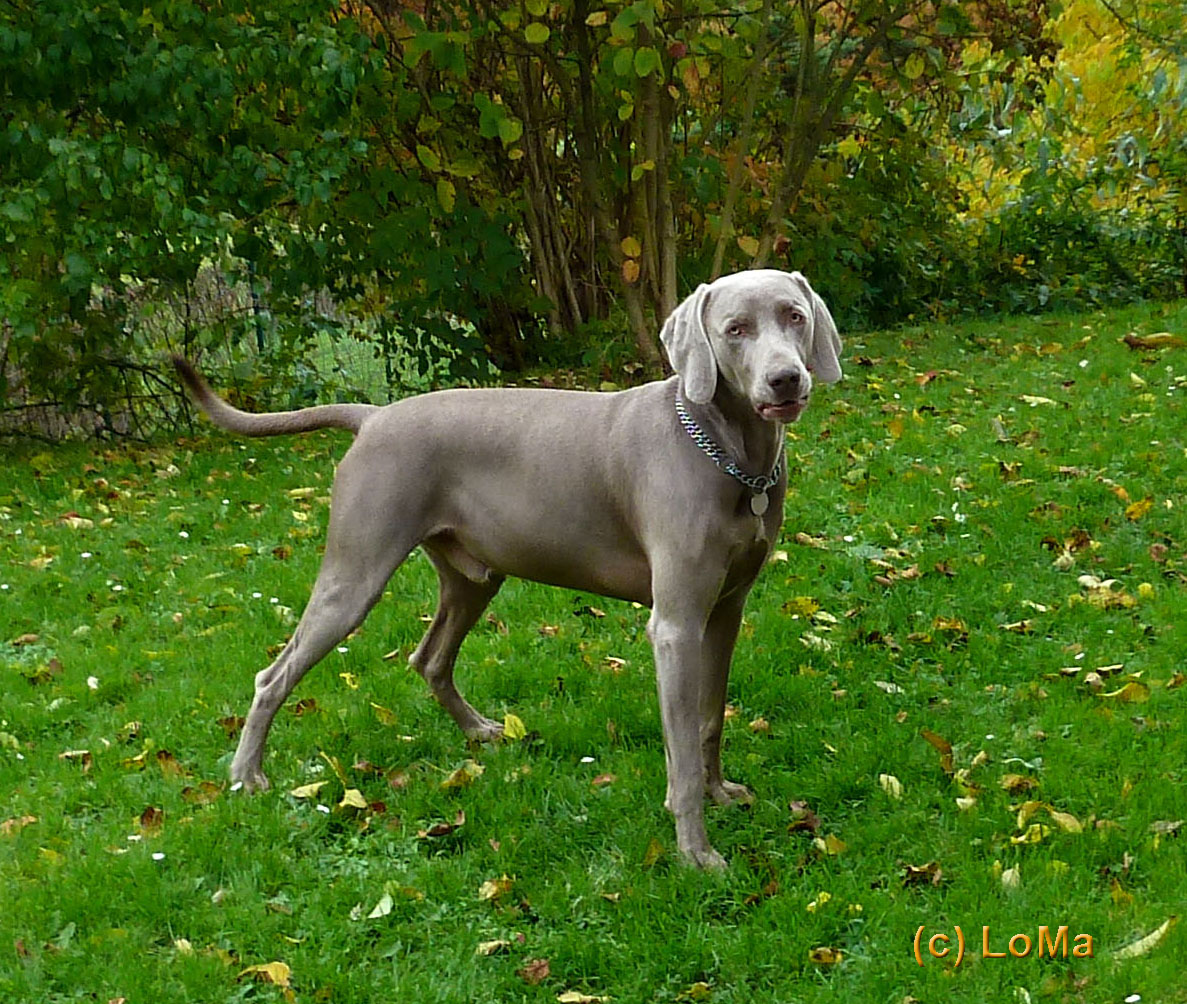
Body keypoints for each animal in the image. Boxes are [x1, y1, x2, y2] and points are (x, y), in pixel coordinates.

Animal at [175, 271, 845, 868]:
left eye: (794, 315)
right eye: (735, 329)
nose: (787, 378)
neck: (726, 451)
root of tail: (374, 417)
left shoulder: (726, 611)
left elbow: (709, 720)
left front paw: (720, 792)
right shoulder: (676, 626)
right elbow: (679, 749)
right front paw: (696, 853)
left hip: (473, 575)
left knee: (429, 657)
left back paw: (478, 732)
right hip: (355, 572)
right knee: (274, 675)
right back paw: (246, 776)